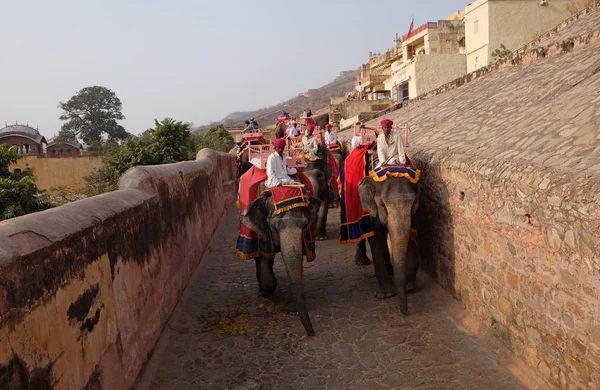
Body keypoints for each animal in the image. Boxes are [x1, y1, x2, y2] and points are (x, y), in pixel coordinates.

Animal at [240, 193, 322, 336]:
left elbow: (297, 259)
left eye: (305, 225)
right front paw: (265, 292)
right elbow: (264, 257)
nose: (311, 333)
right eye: (274, 227)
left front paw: (293, 311)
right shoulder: (261, 230)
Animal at [358, 175, 420, 316]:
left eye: (413, 202)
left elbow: (410, 234)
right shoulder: (373, 210)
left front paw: (409, 287)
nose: (405, 312)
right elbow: (377, 238)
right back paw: (361, 261)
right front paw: (385, 295)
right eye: (382, 205)